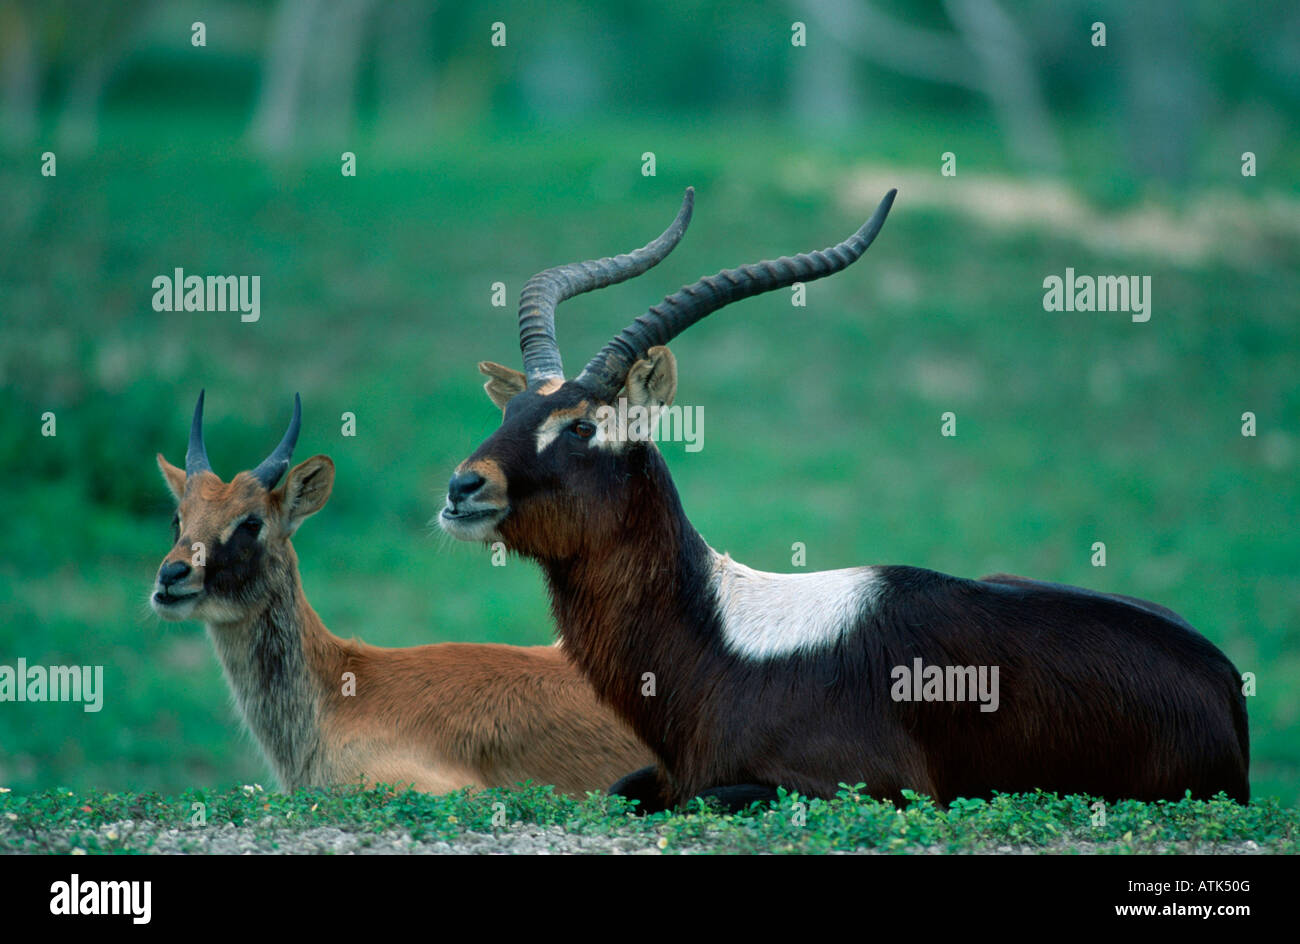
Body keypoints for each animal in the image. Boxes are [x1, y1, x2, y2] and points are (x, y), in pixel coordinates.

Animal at [436, 189, 1248, 811]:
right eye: (514, 412)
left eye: (581, 425)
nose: (462, 489)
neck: (727, 638)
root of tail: (1222, 679)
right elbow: (620, 790)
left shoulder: (865, 790)